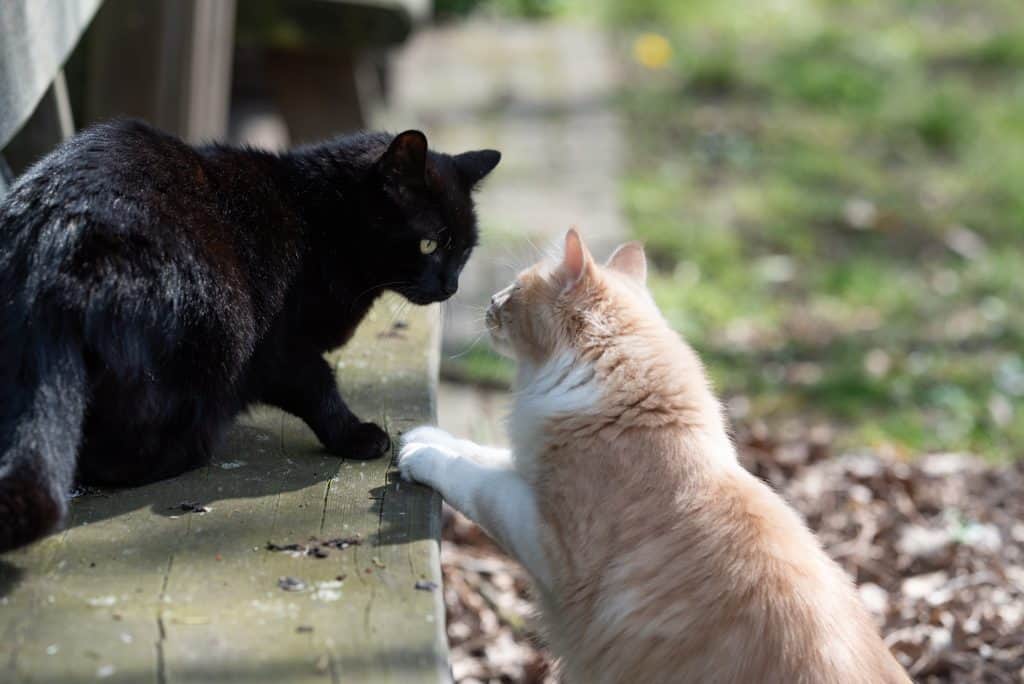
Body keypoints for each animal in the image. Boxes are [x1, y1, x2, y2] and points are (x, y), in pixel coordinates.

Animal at [0, 120, 499, 552]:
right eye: (429, 244)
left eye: (465, 250)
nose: (451, 286)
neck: (321, 222)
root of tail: (53, 248)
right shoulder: (278, 347)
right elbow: (317, 384)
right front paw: (355, 435)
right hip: (221, 326)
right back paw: (187, 450)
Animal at [399, 231, 913, 684]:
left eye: (516, 290)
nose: (490, 299)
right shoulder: (527, 473)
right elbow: (481, 454)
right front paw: (422, 435)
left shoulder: (546, 534)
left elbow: (474, 479)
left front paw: (421, 454)